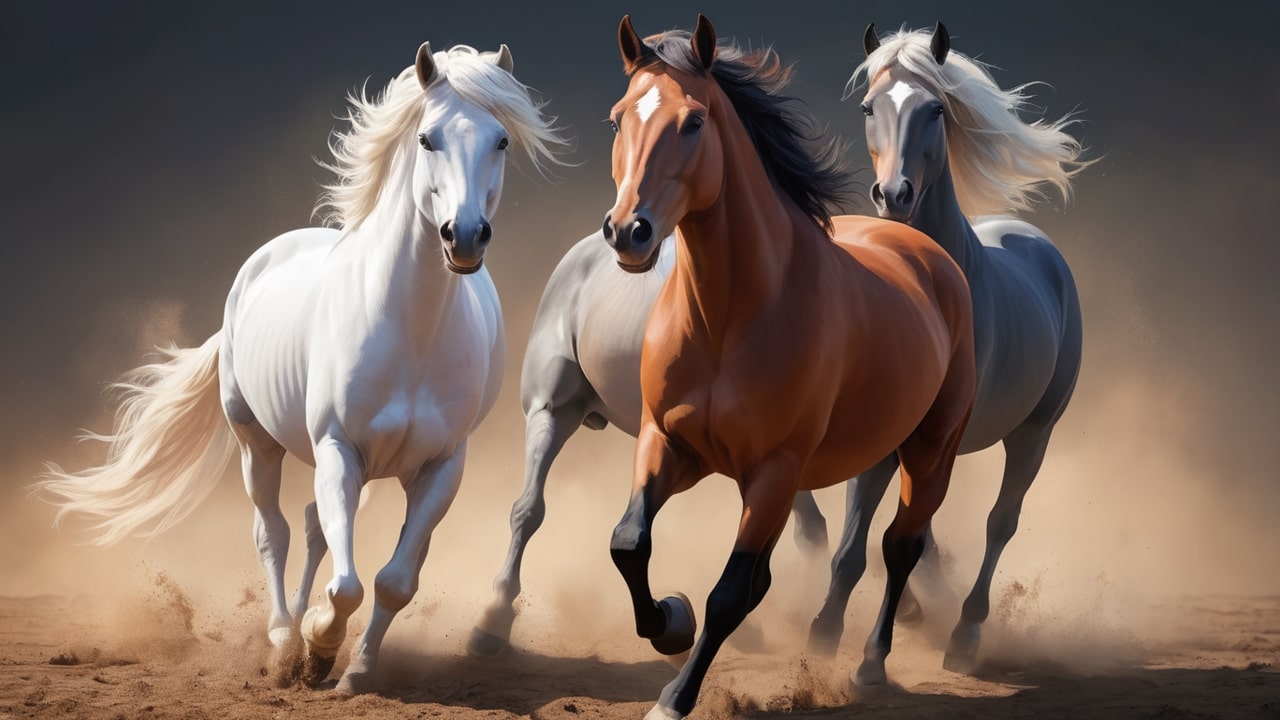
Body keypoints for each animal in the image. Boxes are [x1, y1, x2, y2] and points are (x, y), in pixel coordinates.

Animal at [36, 42, 564, 694]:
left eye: (502, 141)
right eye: (427, 138)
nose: (463, 237)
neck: (411, 335)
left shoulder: (442, 467)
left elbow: (394, 581)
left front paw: (355, 670)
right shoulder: (339, 448)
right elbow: (347, 585)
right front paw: (316, 646)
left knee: (319, 532)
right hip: (257, 442)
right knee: (276, 532)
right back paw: (284, 638)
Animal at [600, 16, 975, 718]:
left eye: (694, 123)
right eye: (617, 120)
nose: (628, 232)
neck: (728, 318)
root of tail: (925, 251)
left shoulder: (775, 471)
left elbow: (728, 594)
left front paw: (674, 696)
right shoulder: (667, 442)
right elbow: (629, 543)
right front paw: (670, 620)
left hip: (929, 449)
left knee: (900, 546)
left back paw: (871, 666)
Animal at [806, 22, 1088, 672]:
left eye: (935, 109)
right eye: (869, 107)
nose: (894, 195)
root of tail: (1034, 241)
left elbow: (901, 540)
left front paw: (873, 656)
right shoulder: (885, 434)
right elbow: (855, 546)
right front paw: (825, 632)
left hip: (1033, 433)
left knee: (1000, 524)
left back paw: (965, 633)